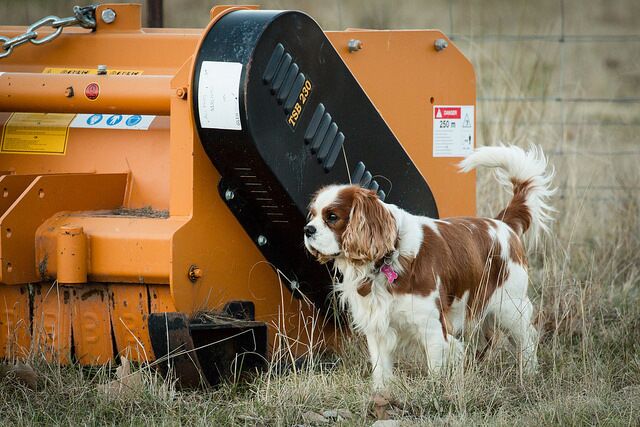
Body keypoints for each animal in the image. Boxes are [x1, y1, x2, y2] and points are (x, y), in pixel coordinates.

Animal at [302, 145, 552, 390]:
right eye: (312, 215)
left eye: (332, 217)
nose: (307, 229)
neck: (389, 257)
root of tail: (503, 224)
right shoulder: (377, 327)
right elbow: (381, 371)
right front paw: (381, 395)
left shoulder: (432, 328)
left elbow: (436, 370)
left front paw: (435, 392)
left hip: (510, 308)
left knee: (528, 339)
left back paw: (528, 374)